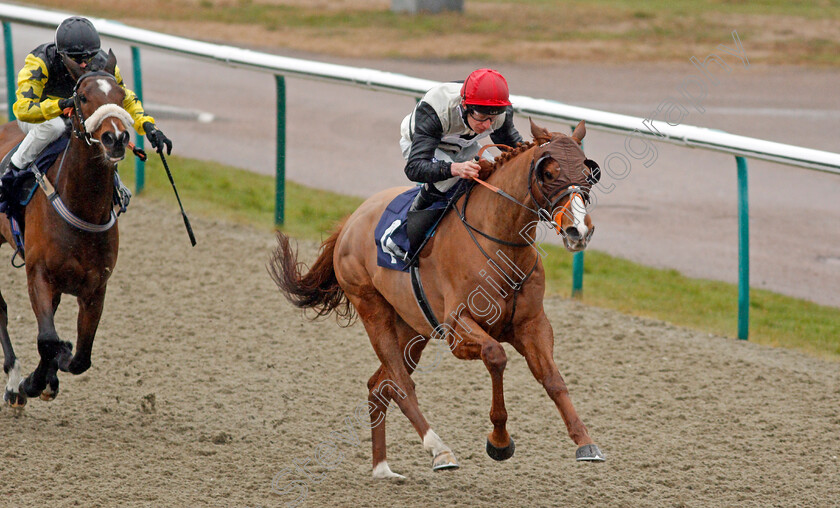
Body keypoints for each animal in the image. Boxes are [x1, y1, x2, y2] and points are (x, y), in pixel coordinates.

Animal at [0, 50, 131, 408]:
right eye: (83, 97)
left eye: (122, 97)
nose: (116, 138)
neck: (82, 206)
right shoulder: (39, 274)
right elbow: (48, 339)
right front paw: (31, 382)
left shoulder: (95, 288)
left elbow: (80, 357)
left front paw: (47, 377)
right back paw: (14, 380)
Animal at [272, 119, 608, 476]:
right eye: (549, 172)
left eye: (587, 173)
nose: (578, 231)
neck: (500, 244)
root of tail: (350, 221)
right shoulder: (458, 330)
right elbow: (496, 356)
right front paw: (499, 441)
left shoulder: (532, 324)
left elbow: (553, 379)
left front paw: (585, 441)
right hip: (372, 309)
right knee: (401, 385)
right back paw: (439, 449)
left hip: (411, 329)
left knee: (380, 385)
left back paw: (382, 469)